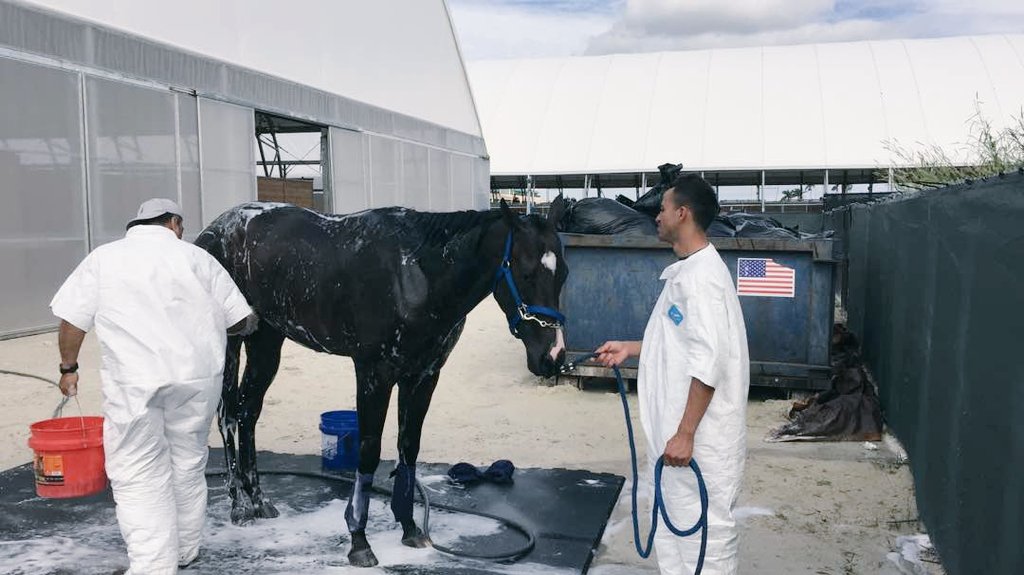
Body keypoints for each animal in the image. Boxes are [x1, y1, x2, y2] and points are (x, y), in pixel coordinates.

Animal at [194, 197, 569, 567]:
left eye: (564, 273)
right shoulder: (374, 374)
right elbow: (369, 452)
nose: (552, 357)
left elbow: (409, 447)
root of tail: (213, 231)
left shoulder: (423, 376)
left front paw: (410, 528)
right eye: (525, 272)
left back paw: (258, 500)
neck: (417, 274)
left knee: (248, 412)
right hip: (232, 344)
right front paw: (359, 541)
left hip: (267, 342)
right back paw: (239, 505)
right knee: (228, 416)